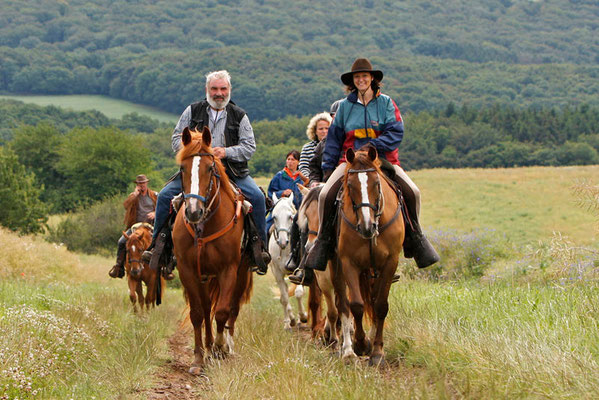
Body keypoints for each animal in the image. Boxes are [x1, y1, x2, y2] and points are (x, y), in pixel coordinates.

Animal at [171, 126, 253, 376]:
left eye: (210, 167)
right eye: (182, 168)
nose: (193, 211)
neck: (205, 224)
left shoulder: (229, 270)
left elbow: (223, 311)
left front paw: (219, 348)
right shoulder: (188, 270)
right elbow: (198, 313)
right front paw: (199, 357)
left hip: (241, 273)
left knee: (232, 308)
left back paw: (227, 346)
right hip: (204, 276)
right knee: (207, 307)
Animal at [268, 193, 308, 328]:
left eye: (290, 216)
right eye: (274, 217)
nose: (282, 242)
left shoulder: (300, 271)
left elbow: (299, 293)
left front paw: (303, 316)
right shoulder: (278, 273)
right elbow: (284, 298)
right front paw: (288, 322)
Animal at [332, 145, 404, 368]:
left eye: (376, 183)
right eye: (350, 185)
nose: (366, 226)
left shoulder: (390, 262)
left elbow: (380, 305)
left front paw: (377, 352)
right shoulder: (348, 263)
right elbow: (355, 305)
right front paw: (360, 344)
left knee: (372, 299)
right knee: (342, 303)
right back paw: (347, 349)